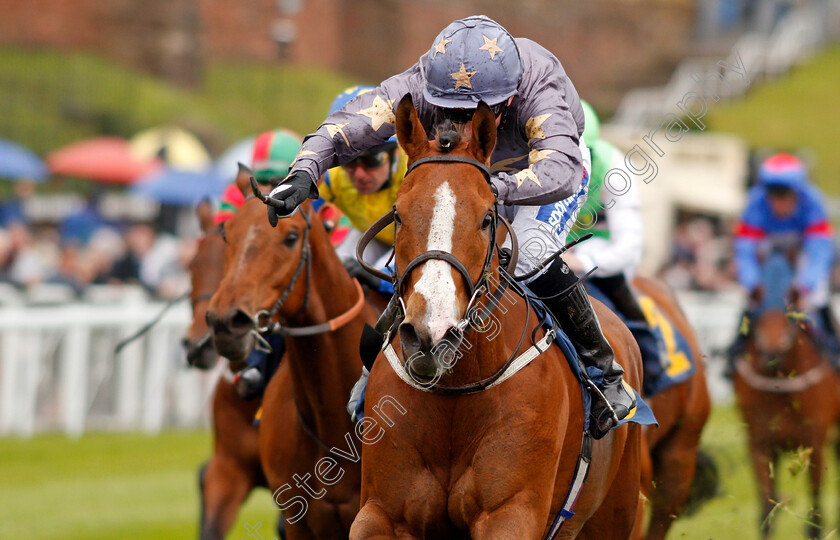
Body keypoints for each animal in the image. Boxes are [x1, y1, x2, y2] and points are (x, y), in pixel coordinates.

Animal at [732, 251, 836, 536]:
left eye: (793, 295)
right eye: (756, 295)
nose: (772, 351)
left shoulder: (814, 444)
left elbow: (815, 519)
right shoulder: (760, 445)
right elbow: (766, 515)